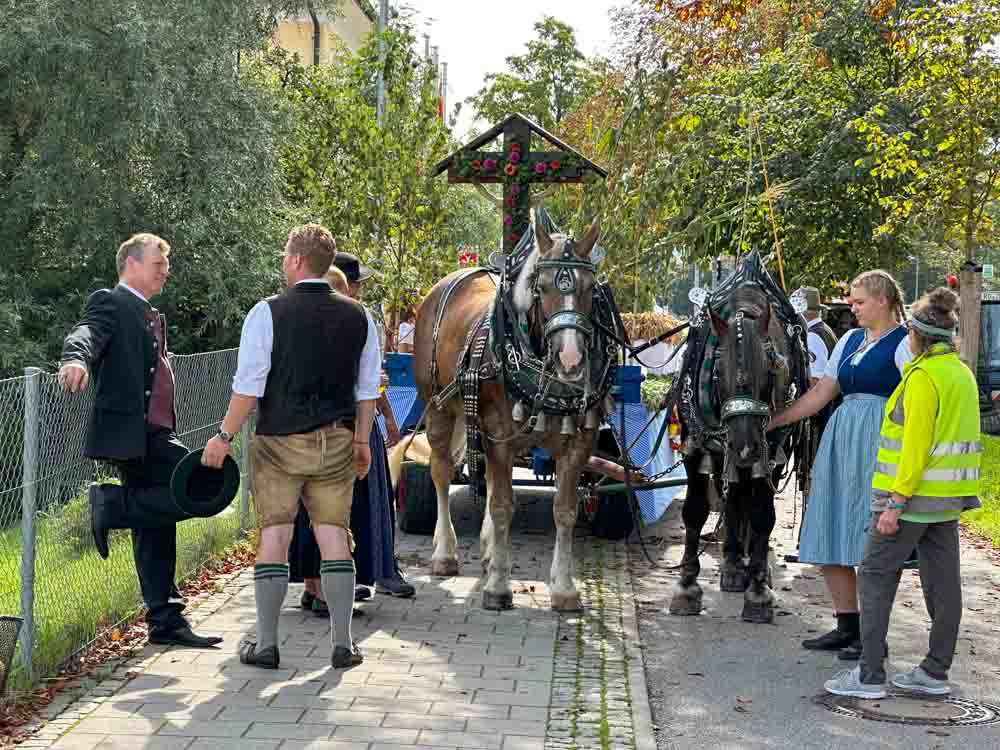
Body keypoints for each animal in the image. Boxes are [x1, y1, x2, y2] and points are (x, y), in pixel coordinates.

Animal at [412, 216, 600, 612]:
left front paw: (564, 588)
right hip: (438, 408)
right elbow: (501, 506)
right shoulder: (499, 435)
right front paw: (498, 586)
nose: (571, 360)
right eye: (541, 287)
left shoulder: (579, 443)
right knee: (441, 472)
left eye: (591, 288)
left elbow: (565, 510)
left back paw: (486, 550)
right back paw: (445, 553)